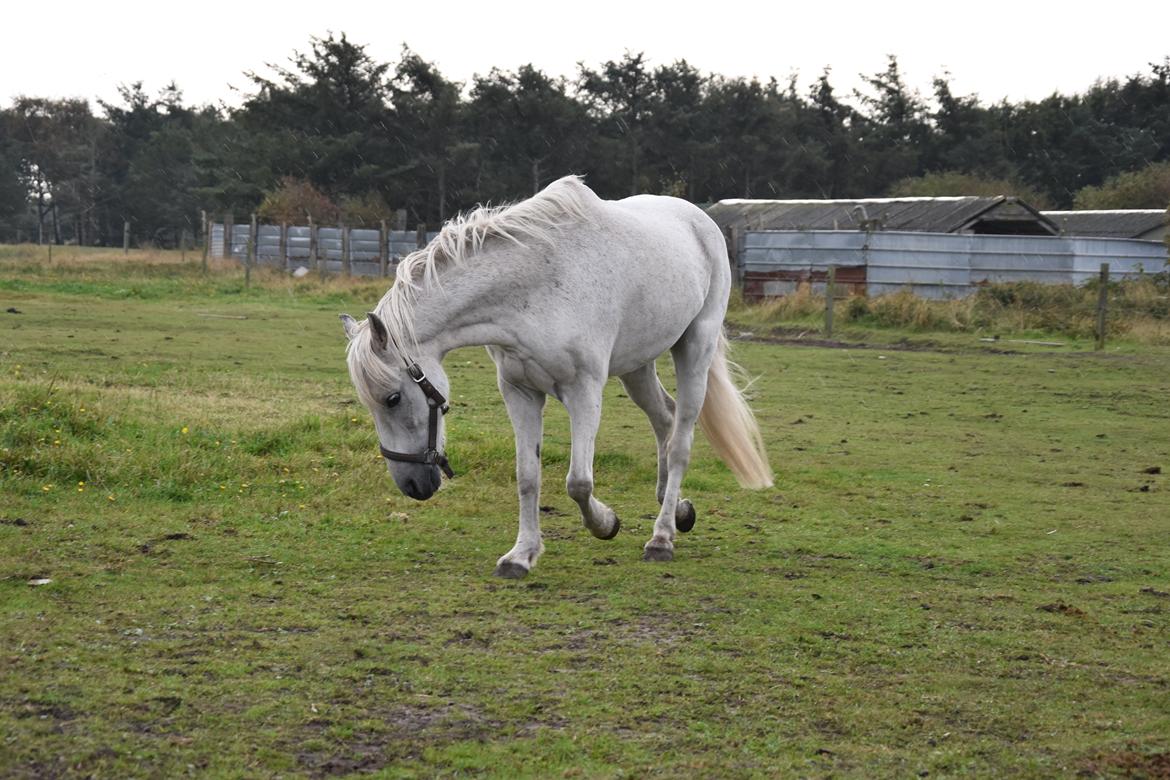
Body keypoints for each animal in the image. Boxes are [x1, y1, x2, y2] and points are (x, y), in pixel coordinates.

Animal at [341, 178, 772, 580]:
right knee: (664, 419)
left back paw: (661, 538)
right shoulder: (520, 392)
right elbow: (527, 476)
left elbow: (579, 482)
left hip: (695, 348)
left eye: (393, 398)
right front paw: (521, 555)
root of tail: (700, 220)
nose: (412, 486)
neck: (533, 290)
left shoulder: (584, 391)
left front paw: (606, 523)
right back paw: (676, 507)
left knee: (680, 440)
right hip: (637, 365)